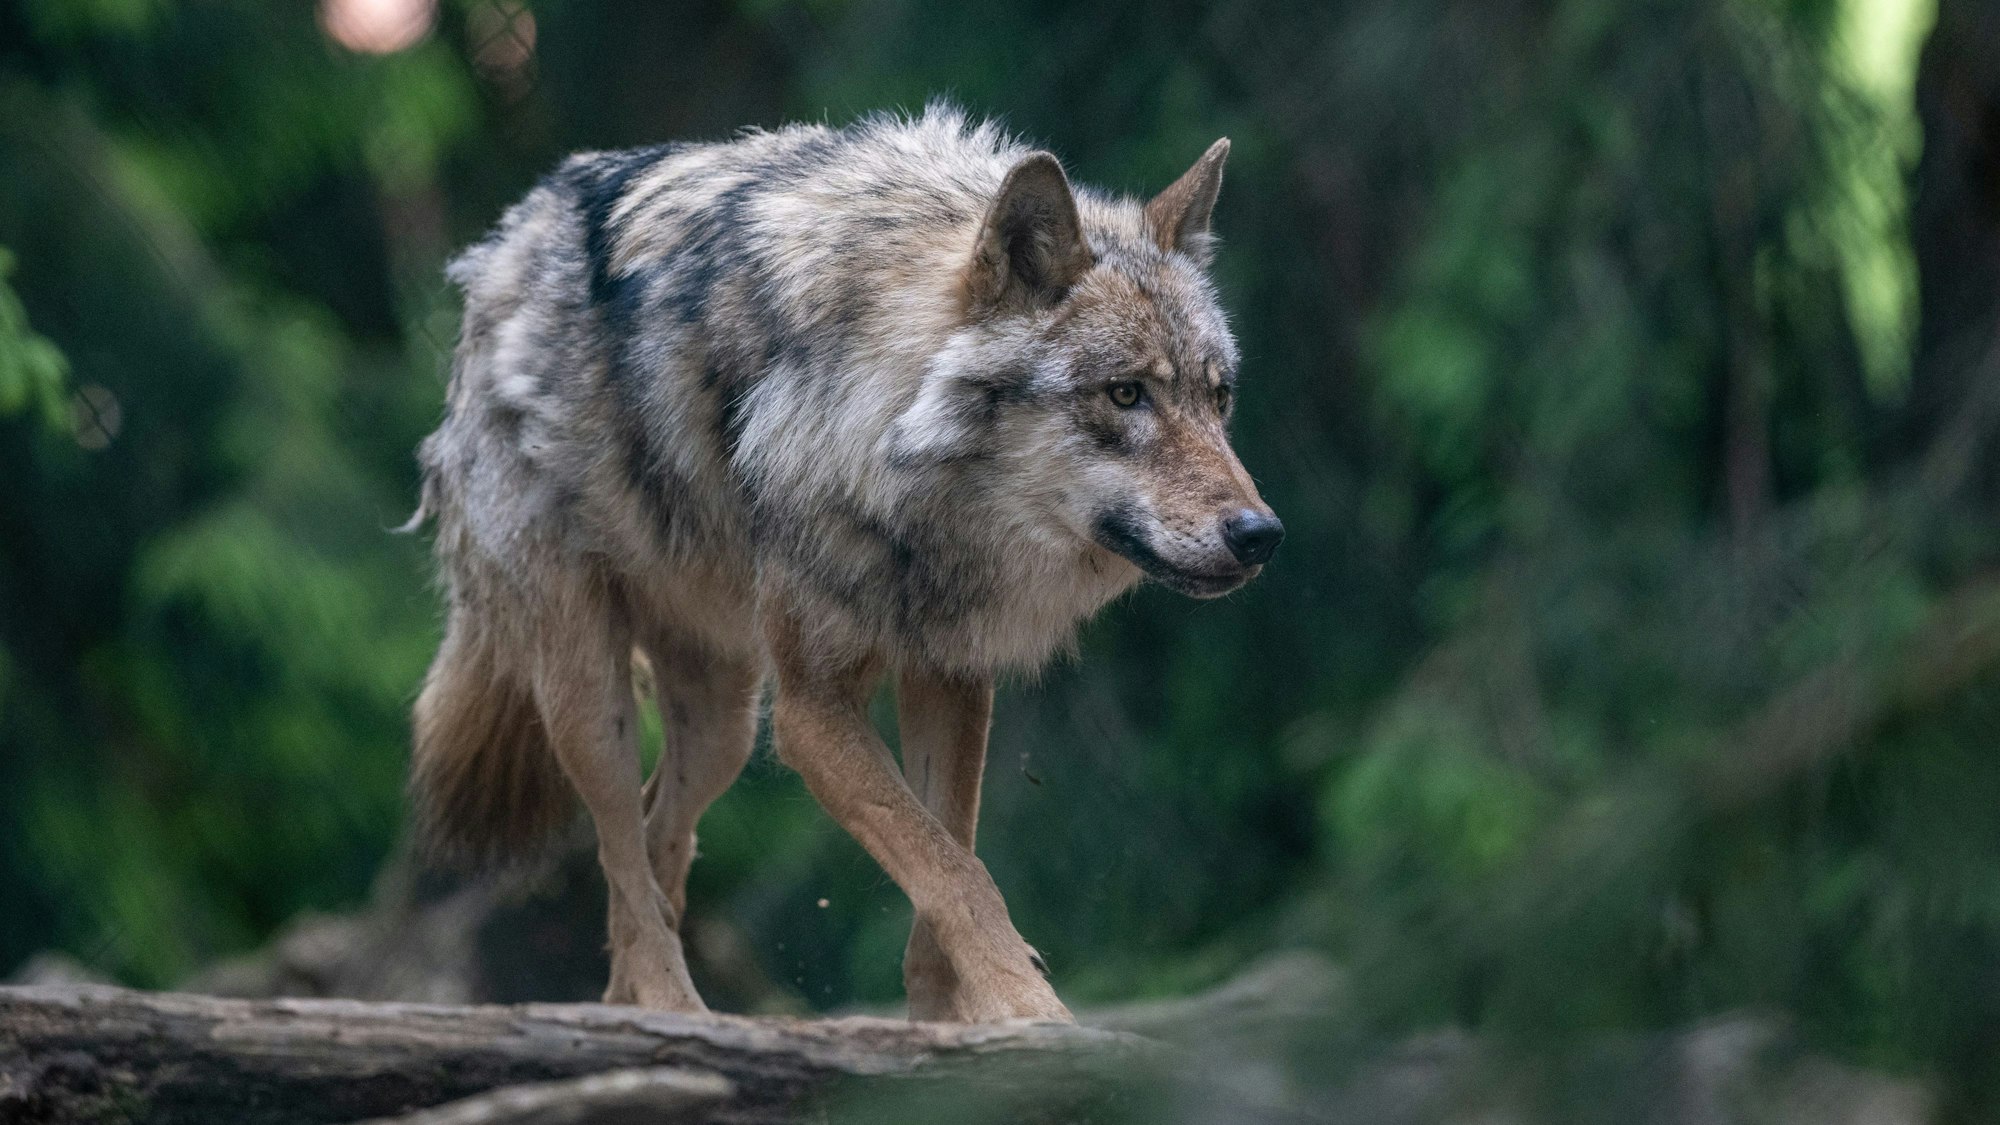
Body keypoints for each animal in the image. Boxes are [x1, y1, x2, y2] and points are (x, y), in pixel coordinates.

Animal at [407, 106, 1282, 1023]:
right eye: (1124, 394)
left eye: (1218, 398)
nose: (1261, 533)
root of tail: (504, 243)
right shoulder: (811, 712)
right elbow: (954, 871)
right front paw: (1029, 1010)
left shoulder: (949, 675)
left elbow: (947, 856)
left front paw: (950, 1022)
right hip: (594, 695)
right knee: (622, 853)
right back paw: (671, 1008)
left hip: (721, 723)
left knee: (655, 846)